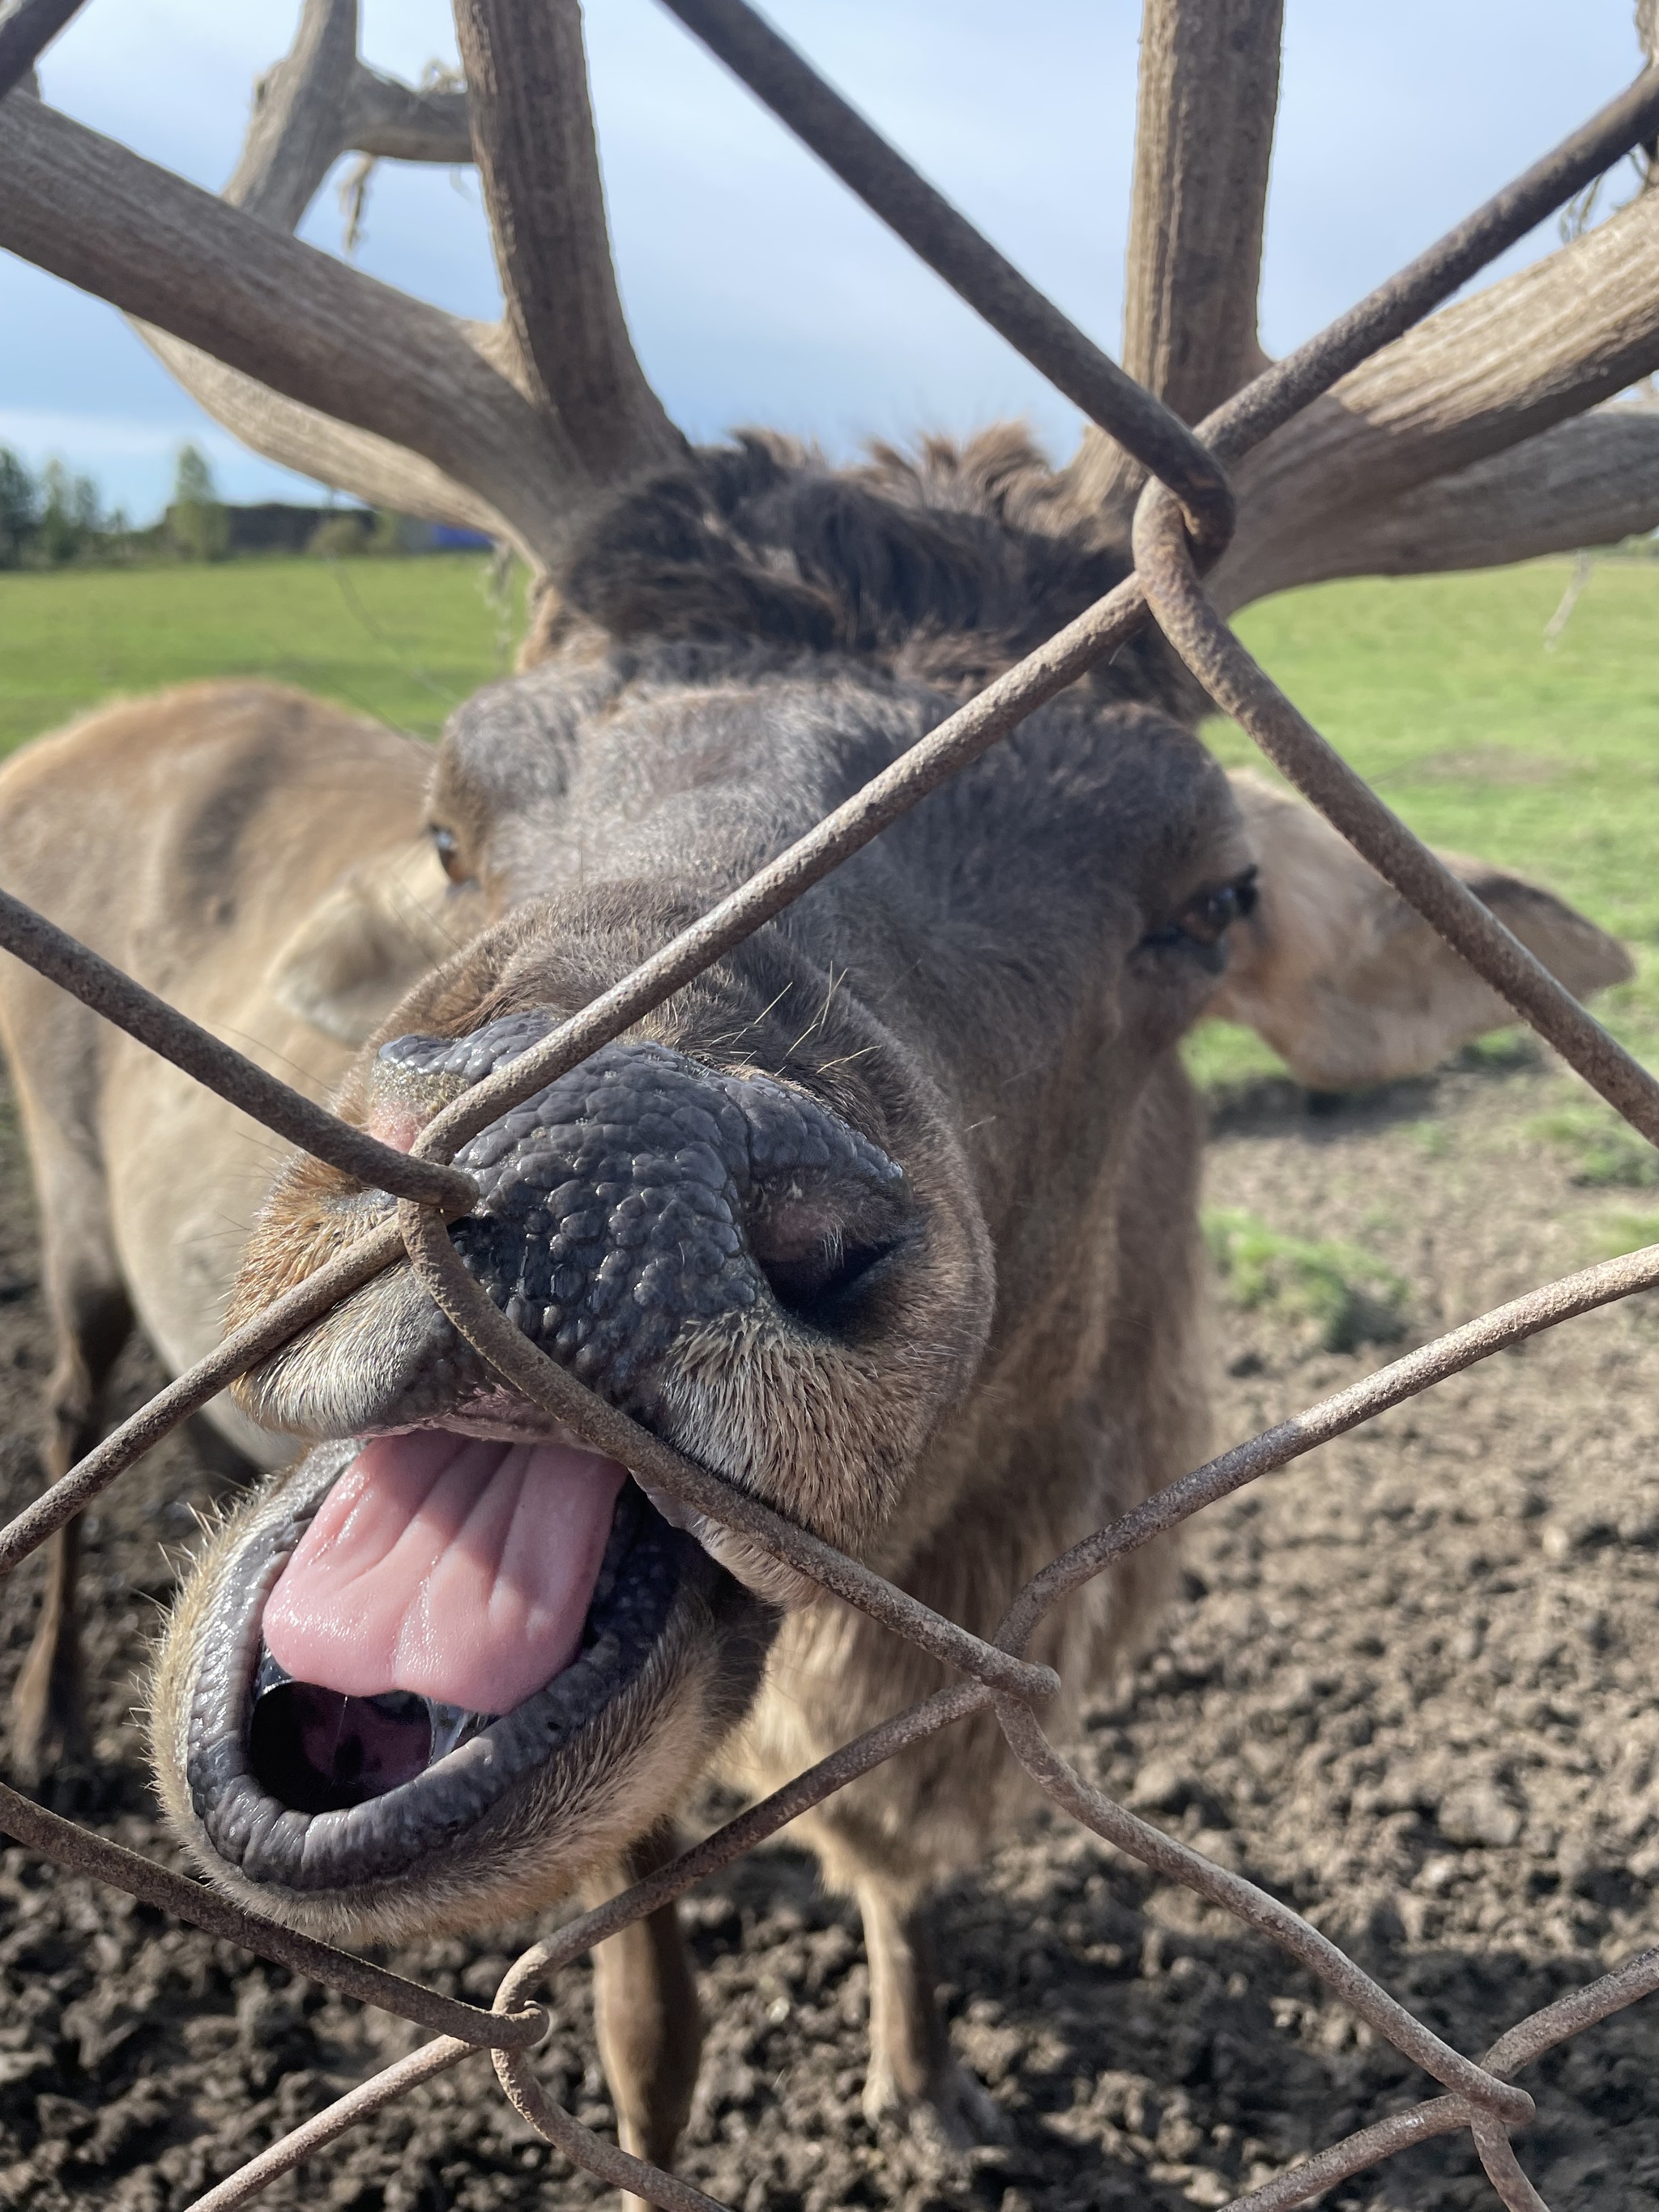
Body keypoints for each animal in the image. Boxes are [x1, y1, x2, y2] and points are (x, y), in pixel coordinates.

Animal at [0, 0, 1654, 2185]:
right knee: (72, 1400)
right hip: (64, 1184)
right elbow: (646, 2010)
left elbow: (908, 1889)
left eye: (1207, 897)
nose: (606, 1153)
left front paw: (937, 2084)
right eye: (454, 808)